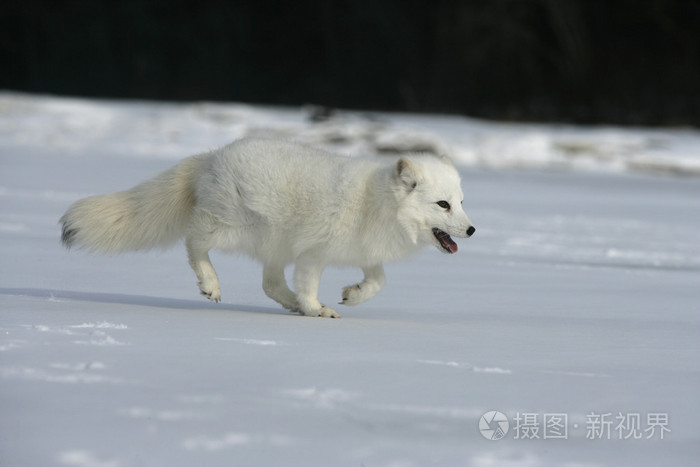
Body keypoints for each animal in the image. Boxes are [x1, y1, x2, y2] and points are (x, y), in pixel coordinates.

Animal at [60, 139, 476, 318]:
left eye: (461, 202)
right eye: (443, 205)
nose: (472, 230)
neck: (374, 203)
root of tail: (212, 155)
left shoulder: (364, 251)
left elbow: (379, 281)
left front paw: (352, 295)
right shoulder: (313, 254)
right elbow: (309, 285)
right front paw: (316, 309)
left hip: (275, 244)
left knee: (270, 285)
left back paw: (289, 305)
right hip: (231, 228)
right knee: (193, 242)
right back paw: (211, 284)